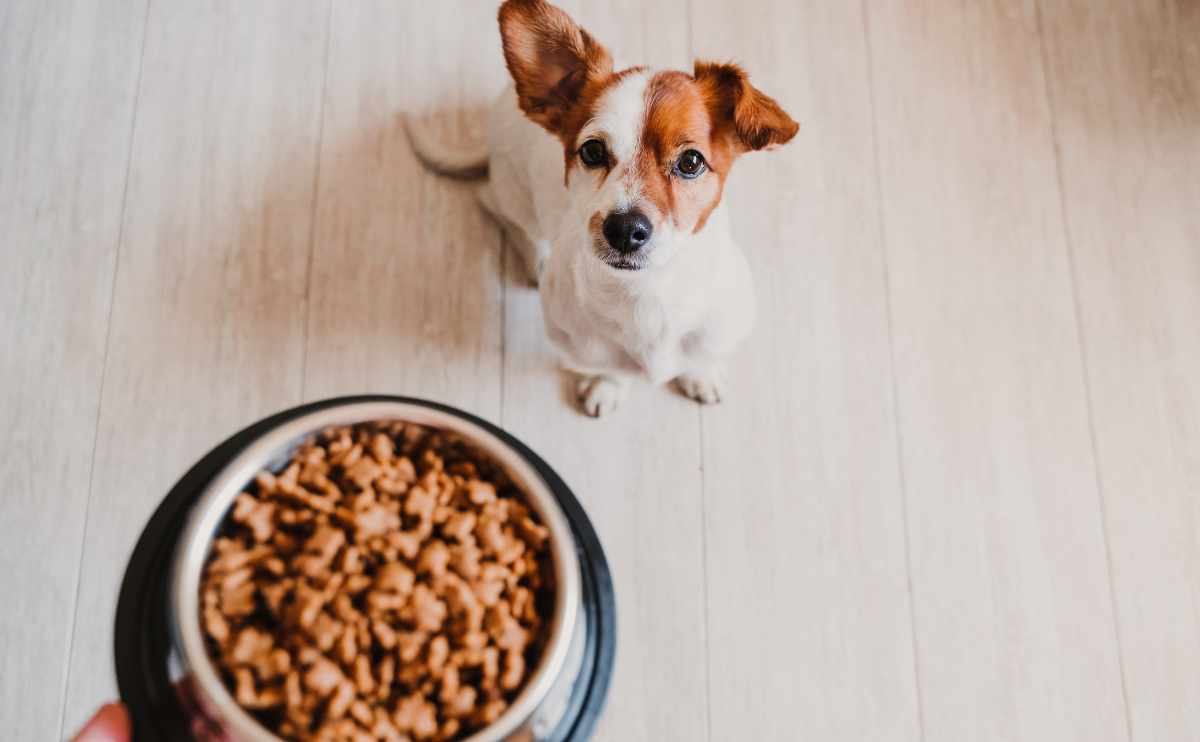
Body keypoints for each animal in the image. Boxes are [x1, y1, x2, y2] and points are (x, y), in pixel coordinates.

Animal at [408, 0, 801, 415]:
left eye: (691, 161)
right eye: (593, 151)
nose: (625, 229)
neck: (646, 293)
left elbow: (703, 356)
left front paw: (701, 374)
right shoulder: (582, 346)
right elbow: (609, 368)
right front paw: (607, 385)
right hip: (512, 195)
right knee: (497, 208)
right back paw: (534, 258)